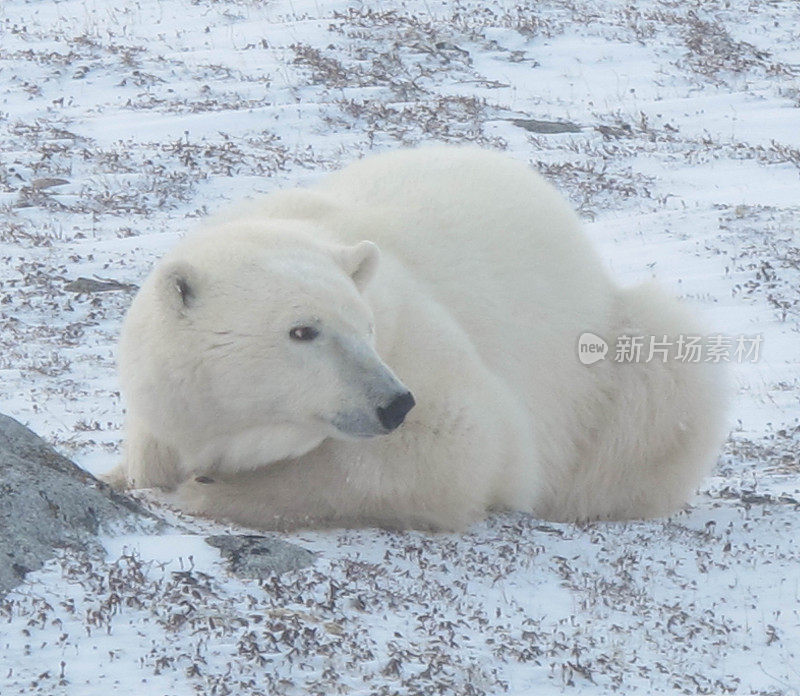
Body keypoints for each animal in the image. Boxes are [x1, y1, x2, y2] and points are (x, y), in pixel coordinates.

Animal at [106, 145, 732, 528]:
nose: (394, 403)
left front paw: (211, 490)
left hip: (606, 361)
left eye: (366, 326)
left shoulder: (422, 345)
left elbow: (454, 445)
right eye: (302, 330)